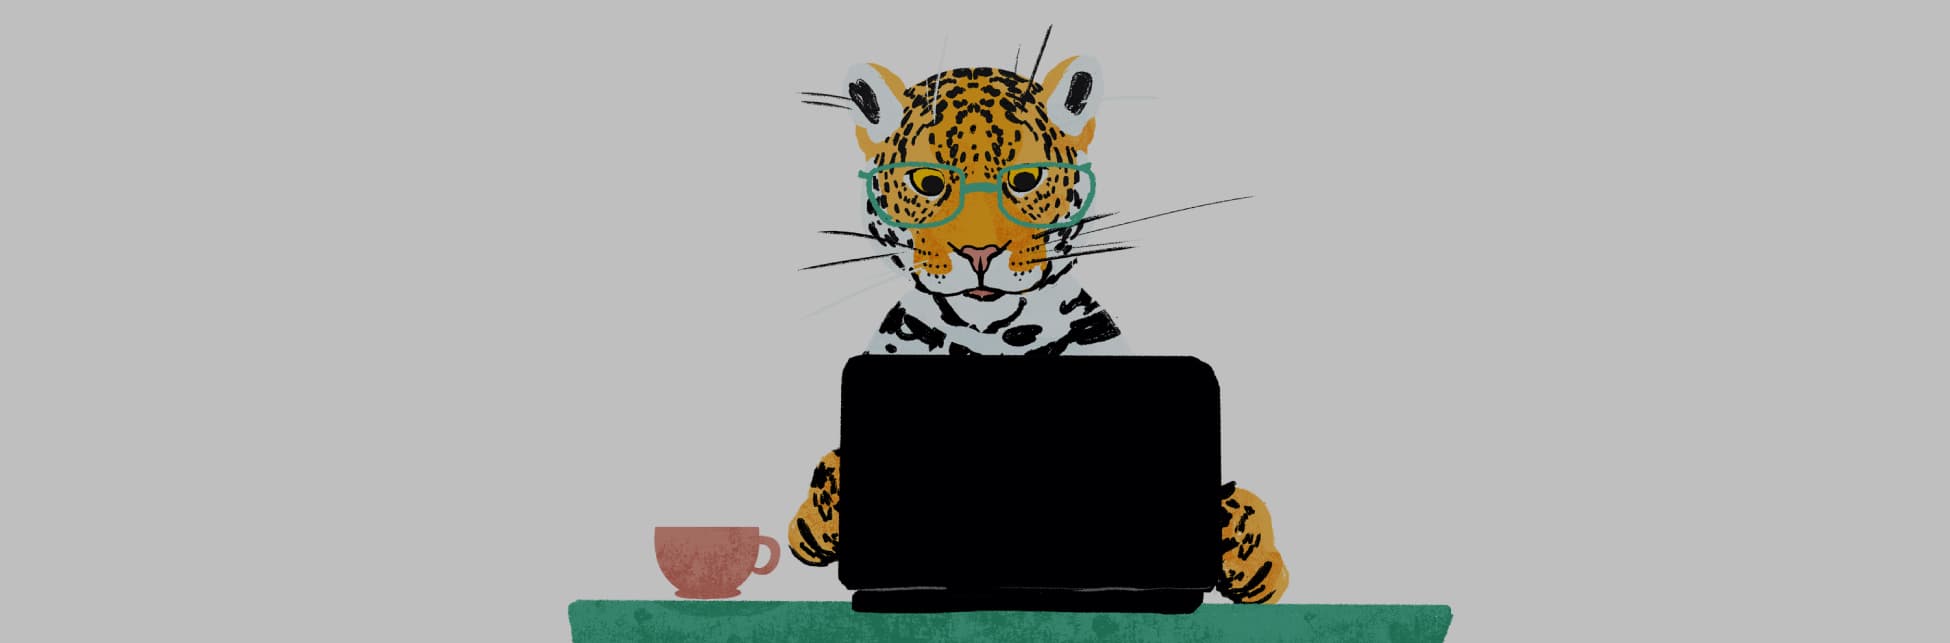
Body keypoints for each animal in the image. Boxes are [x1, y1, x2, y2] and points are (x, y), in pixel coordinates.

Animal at [788, 52, 1290, 604]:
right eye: (928, 183)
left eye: (1025, 179)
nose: (979, 253)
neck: (989, 338)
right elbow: (830, 465)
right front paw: (817, 521)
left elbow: (1234, 502)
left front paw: (1253, 557)